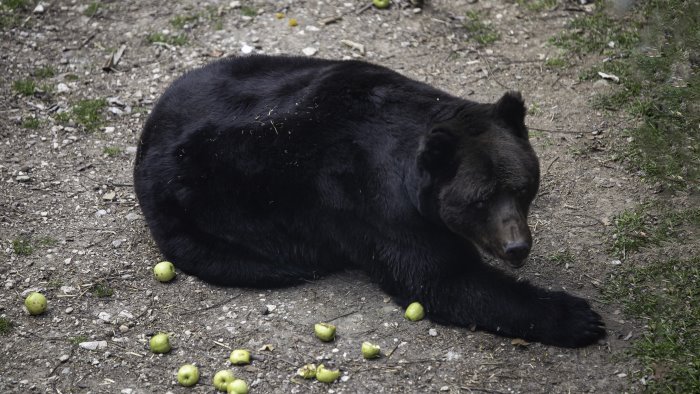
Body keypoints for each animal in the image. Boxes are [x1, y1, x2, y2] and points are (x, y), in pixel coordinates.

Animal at [134, 55, 604, 348]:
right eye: (479, 201)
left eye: (523, 187)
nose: (517, 246)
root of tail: (146, 135)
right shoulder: (377, 207)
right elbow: (442, 279)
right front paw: (577, 316)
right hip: (200, 212)